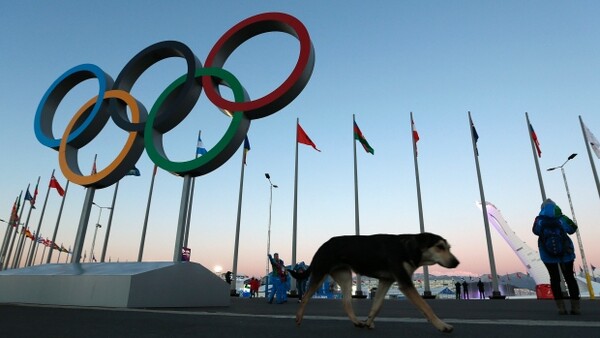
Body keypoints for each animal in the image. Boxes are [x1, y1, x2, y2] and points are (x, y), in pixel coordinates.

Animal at [290, 232, 460, 332]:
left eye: (449, 247)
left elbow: (377, 305)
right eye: (439, 247)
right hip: (320, 274)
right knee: (305, 297)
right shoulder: (404, 282)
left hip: (345, 277)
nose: (456, 262)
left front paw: (368, 322)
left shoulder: (386, 280)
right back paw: (298, 318)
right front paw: (442, 325)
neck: (409, 247)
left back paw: (357, 322)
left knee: (346, 302)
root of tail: (322, 246)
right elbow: (426, 306)